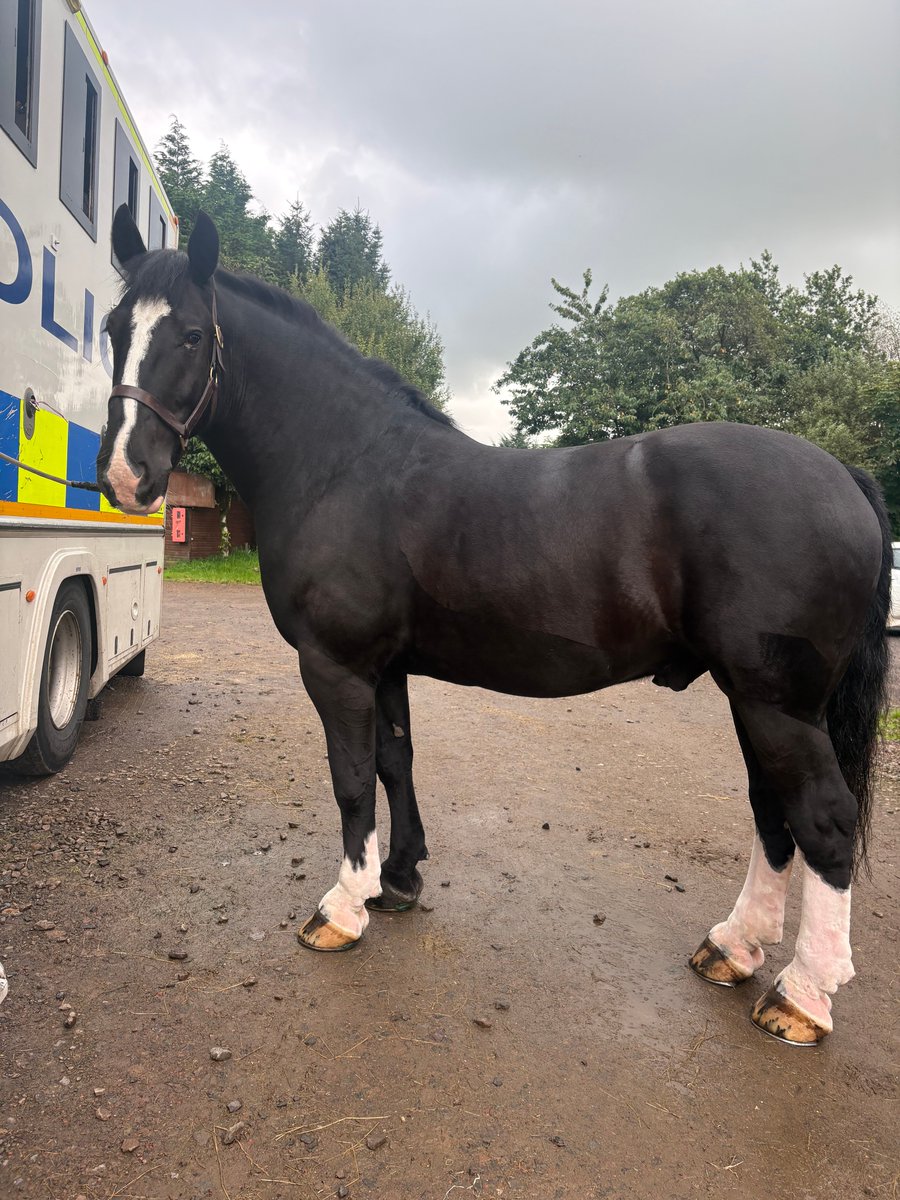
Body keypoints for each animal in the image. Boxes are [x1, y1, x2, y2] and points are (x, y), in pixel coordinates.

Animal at [96, 205, 891, 1047]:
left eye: (189, 334)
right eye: (115, 327)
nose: (124, 474)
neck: (347, 465)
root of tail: (842, 474)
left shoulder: (335, 665)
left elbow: (352, 779)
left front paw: (342, 910)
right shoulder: (384, 668)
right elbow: (395, 762)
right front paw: (397, 881)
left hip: (776, 704)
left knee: (824, 822)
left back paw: (801, 996)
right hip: (754, 700)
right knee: (773, 815)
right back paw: (734, 948)